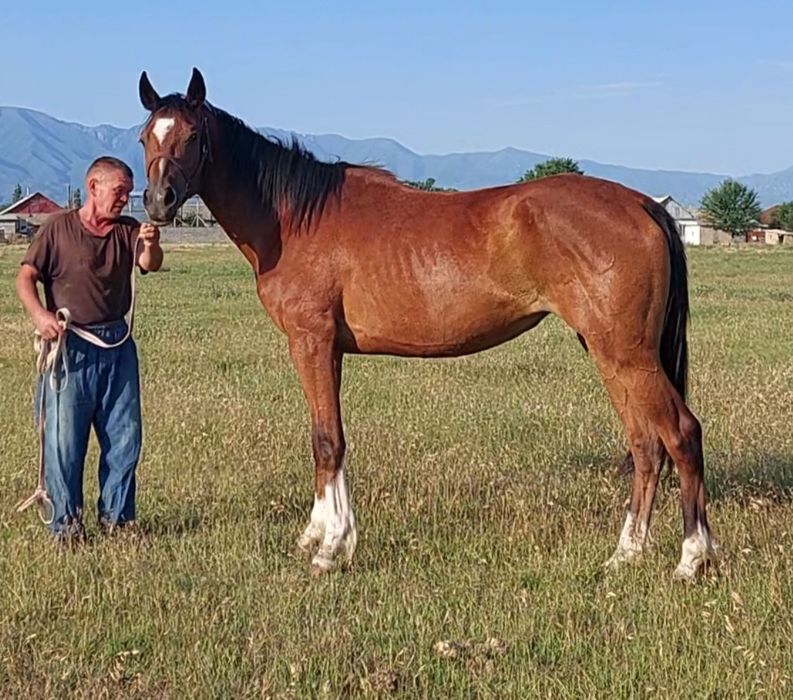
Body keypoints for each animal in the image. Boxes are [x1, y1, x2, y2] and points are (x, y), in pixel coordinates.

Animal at [137, 68, 718, 579]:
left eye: (192, 135)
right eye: (146, 136)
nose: (159, 202)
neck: (295, 218)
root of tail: (642, 204)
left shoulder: (311, 341)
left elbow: (327, 440)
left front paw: (330, 549)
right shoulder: (331, 350)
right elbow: (328, 438)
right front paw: (318, 534)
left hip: (627, 353)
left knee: (681, 434)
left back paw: (691, 559)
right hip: (610, 352)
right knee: (645, 446)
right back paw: (625, 555)